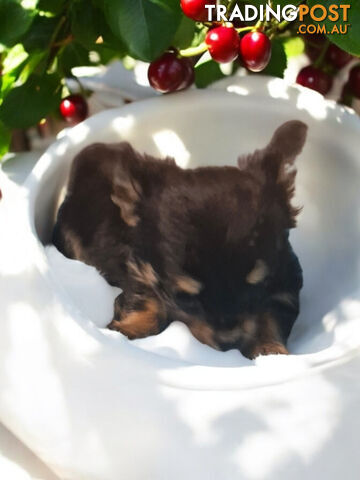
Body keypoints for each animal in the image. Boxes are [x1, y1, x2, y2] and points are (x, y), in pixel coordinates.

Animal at [52, 122, 306, 358]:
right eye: (183, 298)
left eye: (260, 286)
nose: (228, 342)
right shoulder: (140, 270)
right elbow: (149, 300)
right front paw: (130, 329)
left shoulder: (285, 285)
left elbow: (270, 315)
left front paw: (269, 350)